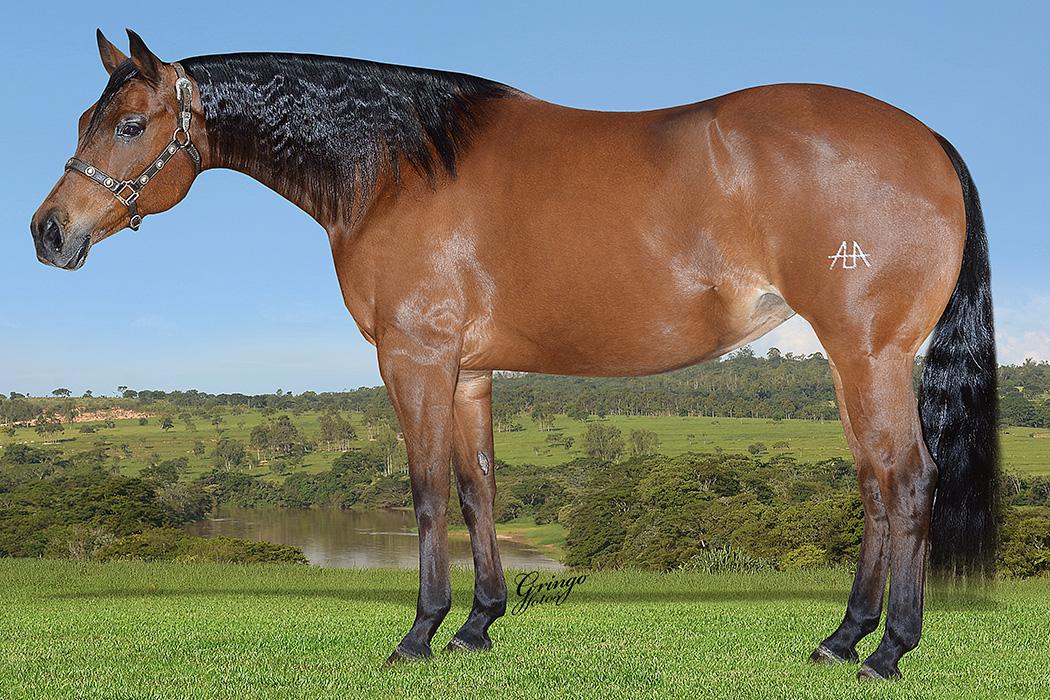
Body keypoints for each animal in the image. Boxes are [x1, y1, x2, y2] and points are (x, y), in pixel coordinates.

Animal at [31, 30, 999, 681]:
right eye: (85, 118)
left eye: (129, 125)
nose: (48, 232)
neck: (400, 167)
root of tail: (930, 142)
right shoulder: (469, 371)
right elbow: (478, 489)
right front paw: (478, 626)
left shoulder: (414, 360)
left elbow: (425, 493)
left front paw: (419, 636)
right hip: (852, 361)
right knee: (874, 483)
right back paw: (841, 639)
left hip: (868, 352)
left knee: (907, 480)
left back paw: (888, 651)